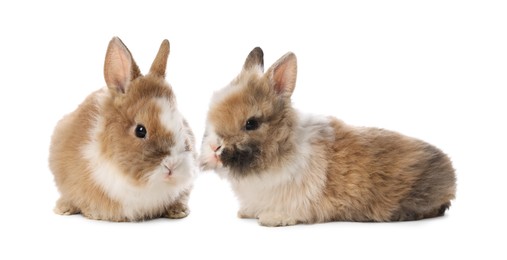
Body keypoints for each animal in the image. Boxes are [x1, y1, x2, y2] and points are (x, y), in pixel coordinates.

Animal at [49, 37, 196, 221]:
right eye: (140, 130)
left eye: (182, 125)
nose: (172, 166)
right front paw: (92, 213)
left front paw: (179, 211)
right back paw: (63, 208)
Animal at [200, 47, 458, 226]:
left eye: (251, 123)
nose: (214, 148)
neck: (282, 148)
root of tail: (451, 175)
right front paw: (246, 213)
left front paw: (271, 219)